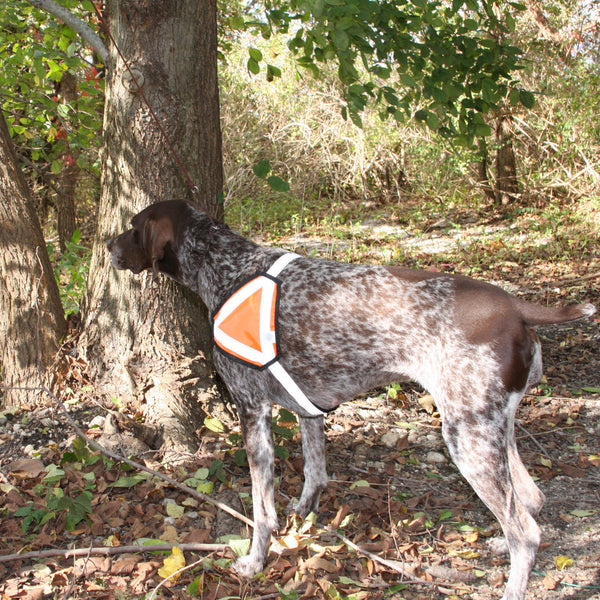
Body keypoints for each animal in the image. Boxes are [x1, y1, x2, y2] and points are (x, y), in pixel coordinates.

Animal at [108, 202, 596, 600]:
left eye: (133, 227)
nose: (108, 245)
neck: (228, 268)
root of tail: (517, 307)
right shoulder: (308, 407)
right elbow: (315, 474)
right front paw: (302, 517)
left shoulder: (252, 412)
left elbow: (261, 510)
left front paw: (255, 561)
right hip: (492, 426)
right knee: (531, 500)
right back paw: (499, 541)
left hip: (467, 438)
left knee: (526, 532)